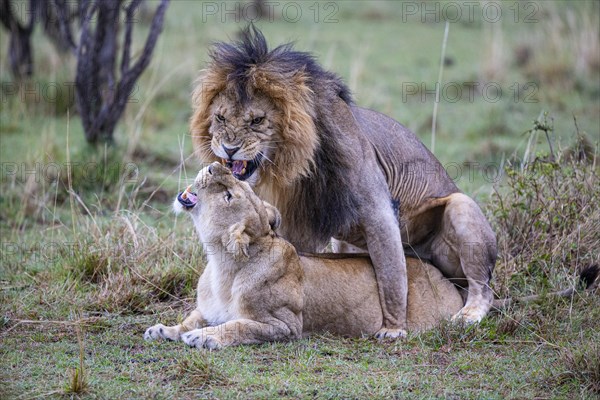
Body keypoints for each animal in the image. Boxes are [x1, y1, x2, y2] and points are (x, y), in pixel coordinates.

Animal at [143, 164, 462, 348]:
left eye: (230, 195)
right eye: (237, 185)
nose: (213, 165)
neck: (223, 267)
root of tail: (443, 278)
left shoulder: (285, 325)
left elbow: (239, 326)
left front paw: (205, 337)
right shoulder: (206, 310)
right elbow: (190, 319)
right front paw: (164, 330)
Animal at [189, 25, 496, 338]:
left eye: (257, 120)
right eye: (220, 117)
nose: (229, 149)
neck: (300, 165)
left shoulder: (379, 212)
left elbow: (393, 277)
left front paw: (394, 328)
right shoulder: (294, 221)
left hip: (460, 208)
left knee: (482, 287)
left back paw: (467, 315)